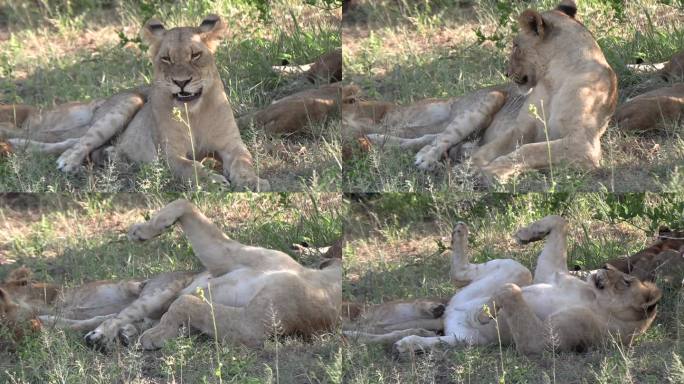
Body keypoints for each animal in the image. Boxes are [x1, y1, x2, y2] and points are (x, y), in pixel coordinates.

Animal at [0, 200, 342, 352]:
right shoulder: (223, 256)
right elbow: (184, 203)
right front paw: (144, 230)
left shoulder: (253, 326)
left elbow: (188, 304)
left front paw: (156, 336)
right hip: (156, 292)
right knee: (111, 318)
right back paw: (102, 333)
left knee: (130, 318)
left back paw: (125, 335)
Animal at [350, 218, 660, 356]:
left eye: (626, 281)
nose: (604, 268)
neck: (594, 298)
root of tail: (449, 314)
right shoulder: (550, 273)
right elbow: (561, 221)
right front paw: (527, 233)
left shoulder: (551, 340)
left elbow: (514, 299)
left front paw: (491, 307)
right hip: (512, 267)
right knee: (462, 274)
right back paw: (459, 233)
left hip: (468, 340)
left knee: (432, 337)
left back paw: (409, 344)